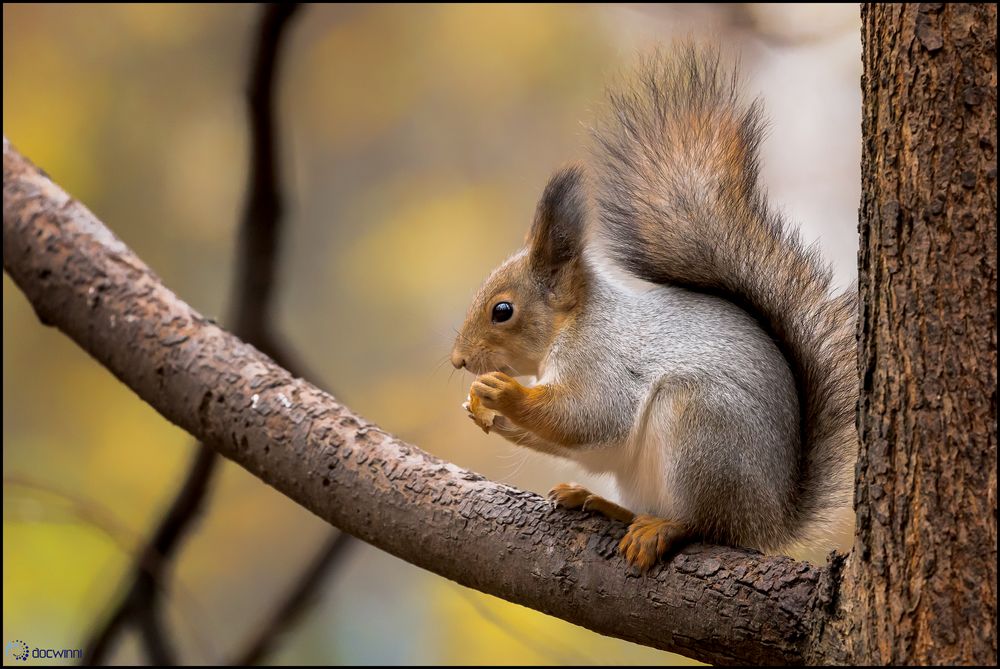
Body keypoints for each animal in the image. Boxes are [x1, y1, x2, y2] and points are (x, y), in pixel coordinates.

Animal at [450, 45, 856, 568]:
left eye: (502, 311)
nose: (458, 360)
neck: (573, 322)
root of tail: (770, 521)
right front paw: (484, 408)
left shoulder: (601, 359)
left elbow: (591, 416)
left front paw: (505, 394)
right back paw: (599, 502)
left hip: (699, 430)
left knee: (708, 524)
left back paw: (664, 527)